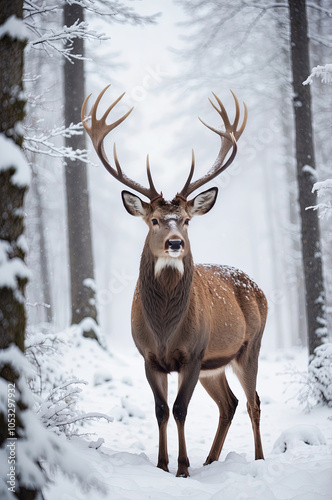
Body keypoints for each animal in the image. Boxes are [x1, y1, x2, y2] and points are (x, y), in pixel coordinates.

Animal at [82, 85, 268, 476]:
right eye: (154, 220)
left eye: (186, 219)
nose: (174, 243)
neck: (165, 329)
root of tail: (258, 289)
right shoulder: (149, 356)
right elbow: (161, 410)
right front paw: (162, 464)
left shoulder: (193, 353)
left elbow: (181, 409)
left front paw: (182, 467)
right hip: (216, 363)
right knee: (228, 403)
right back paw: (211, 460)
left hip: (250, 346)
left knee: (252, 401)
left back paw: (258, 459)